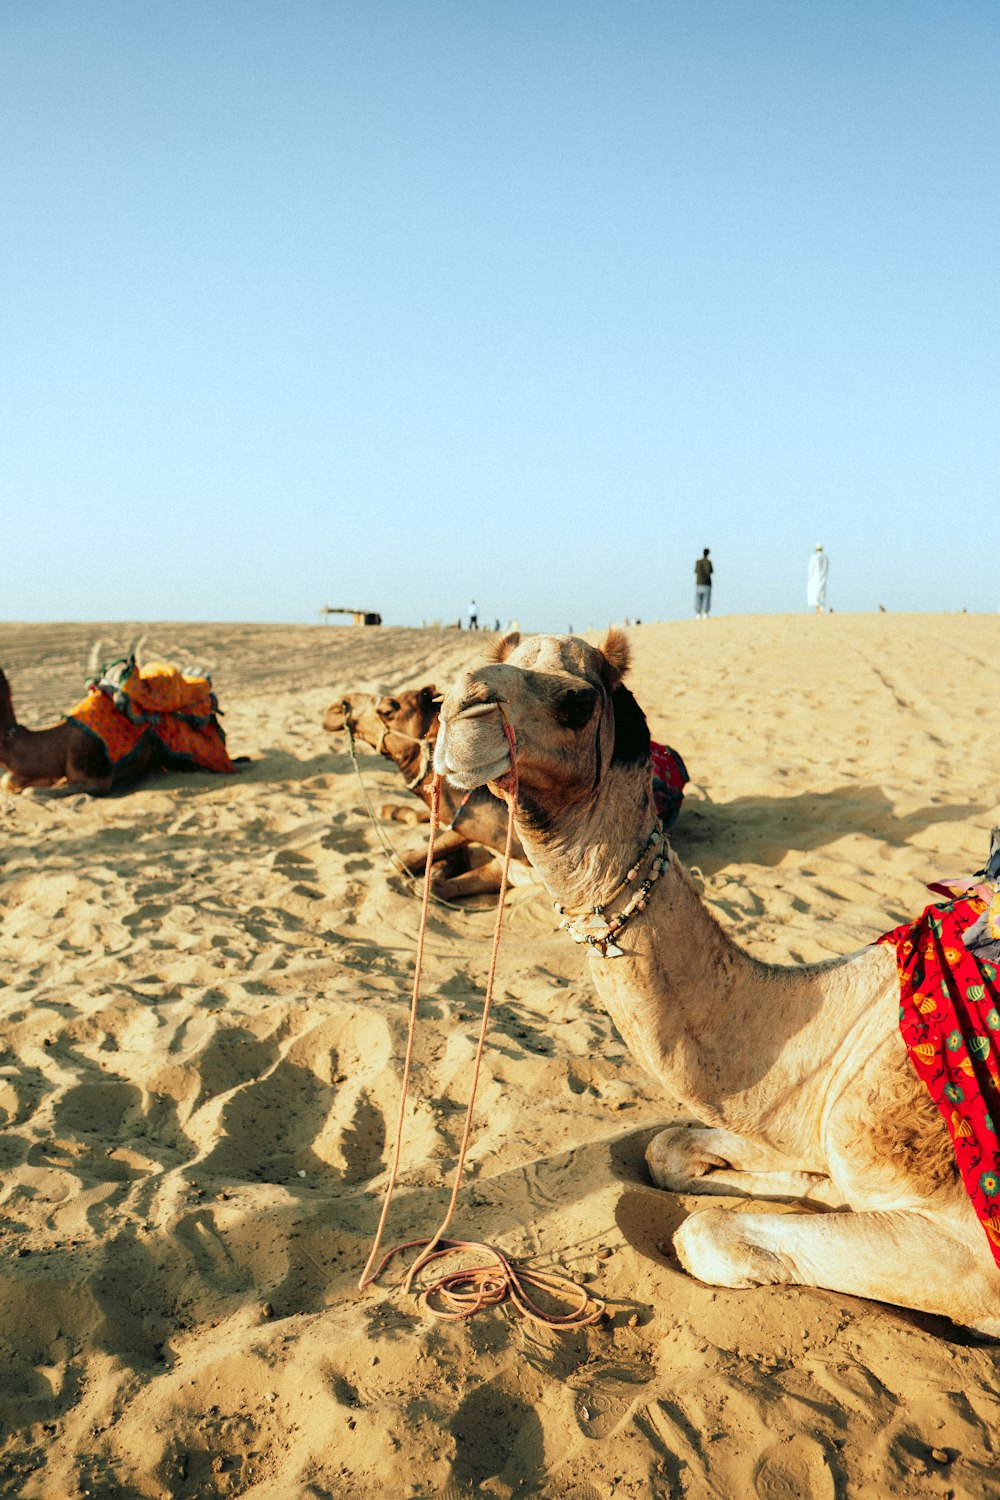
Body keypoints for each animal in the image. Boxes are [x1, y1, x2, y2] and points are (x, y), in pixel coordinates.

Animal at [434, 627, 1000, 1332]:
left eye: (576, 701)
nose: (457, 709)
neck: (850, 1022)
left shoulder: (975, 1246)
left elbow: (705, 1232)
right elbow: (670, 1148)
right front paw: (812, 1190)